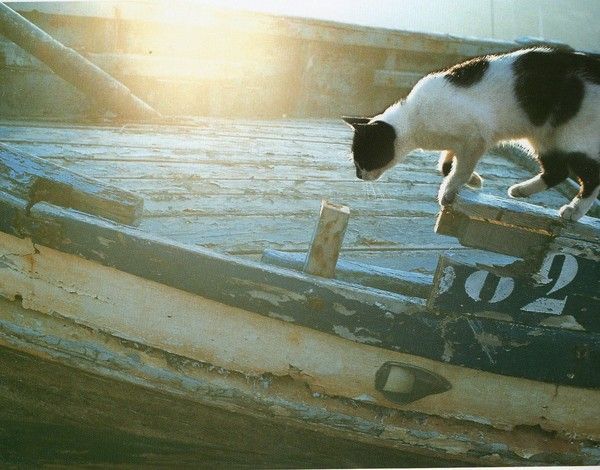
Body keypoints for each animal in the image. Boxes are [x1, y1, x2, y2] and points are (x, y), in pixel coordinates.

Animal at [344, 47, 596, 222]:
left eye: (362, 157)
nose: (358, 175)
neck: (415, 120)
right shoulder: (458, 143)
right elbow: (446, 164)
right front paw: (473, 180)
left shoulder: (476, 137)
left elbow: (460, 169)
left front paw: (450, 190)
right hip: (543, 139)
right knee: (557, 171)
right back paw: (520, 191)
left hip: (572, 139)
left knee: (592, 177)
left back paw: (574, 210)